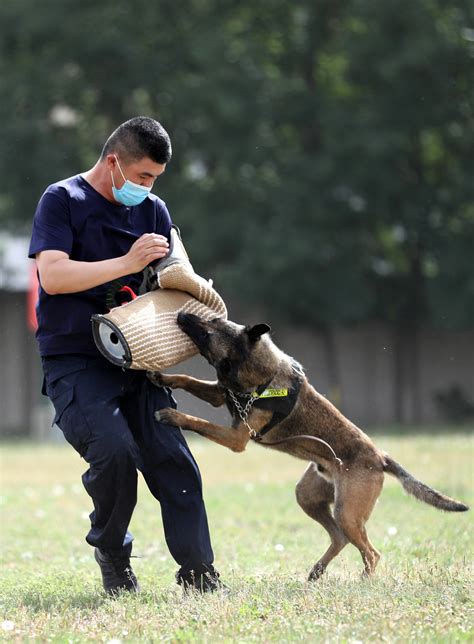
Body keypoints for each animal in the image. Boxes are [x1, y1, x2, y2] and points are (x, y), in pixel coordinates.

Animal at [149, 312, 470, 580]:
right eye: (212, 319)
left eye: (210, 328)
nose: (181, 313)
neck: (261, 373)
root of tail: (380, 457)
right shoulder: (220, 394)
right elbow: (189, 379)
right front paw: (162, 376)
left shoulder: (236, 438)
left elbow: (199, 421)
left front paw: (172, 416)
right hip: (308, 496)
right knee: (340, 537)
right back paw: (317, 570)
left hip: (347, 511)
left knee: (371, 552)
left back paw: (364, 581)